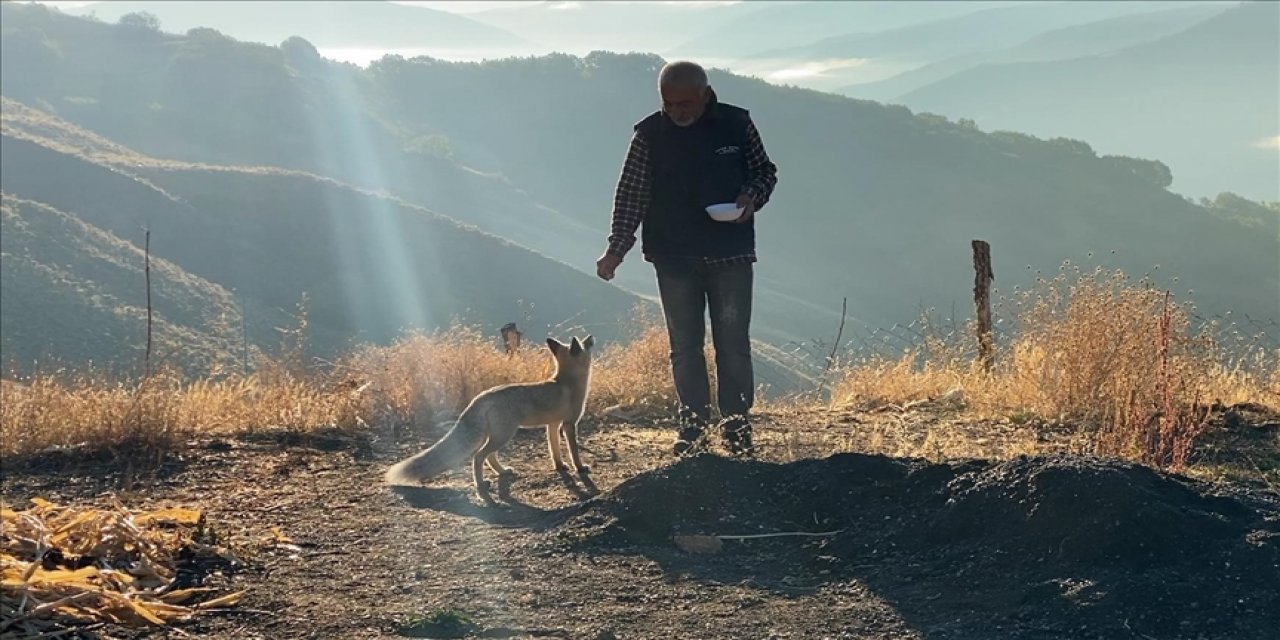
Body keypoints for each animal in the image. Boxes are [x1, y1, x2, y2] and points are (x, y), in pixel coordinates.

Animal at [381, 332, 596, 501]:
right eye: (585, 345)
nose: (591, 338)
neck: (566, 381)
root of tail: (482, 396)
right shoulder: (569, 424)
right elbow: (573, 451)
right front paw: (580, 468)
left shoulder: (552, 424)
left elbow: (555, 450)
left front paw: (560, 467)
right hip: (504, 435)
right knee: (479, 456)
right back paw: (481, 484)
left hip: (498, 435)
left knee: (489, 456)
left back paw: (502, 473)